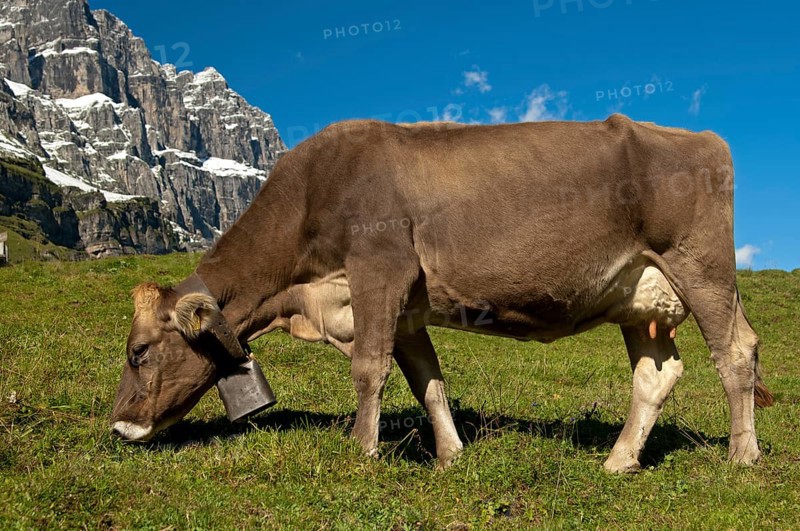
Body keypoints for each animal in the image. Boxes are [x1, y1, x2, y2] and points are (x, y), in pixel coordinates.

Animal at [110, 114, 773, 472]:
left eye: (138, 352)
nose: (119, 427)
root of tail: (700, 137)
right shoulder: (406, 308)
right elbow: (426, 381)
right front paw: (451, 454)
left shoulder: (379, 269)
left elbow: (368, 369)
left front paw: (361, 451)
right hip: (641, 300)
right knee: (656, 374)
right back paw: (618, 460)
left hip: (702, 267)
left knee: (736, 351)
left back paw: (742, 455)